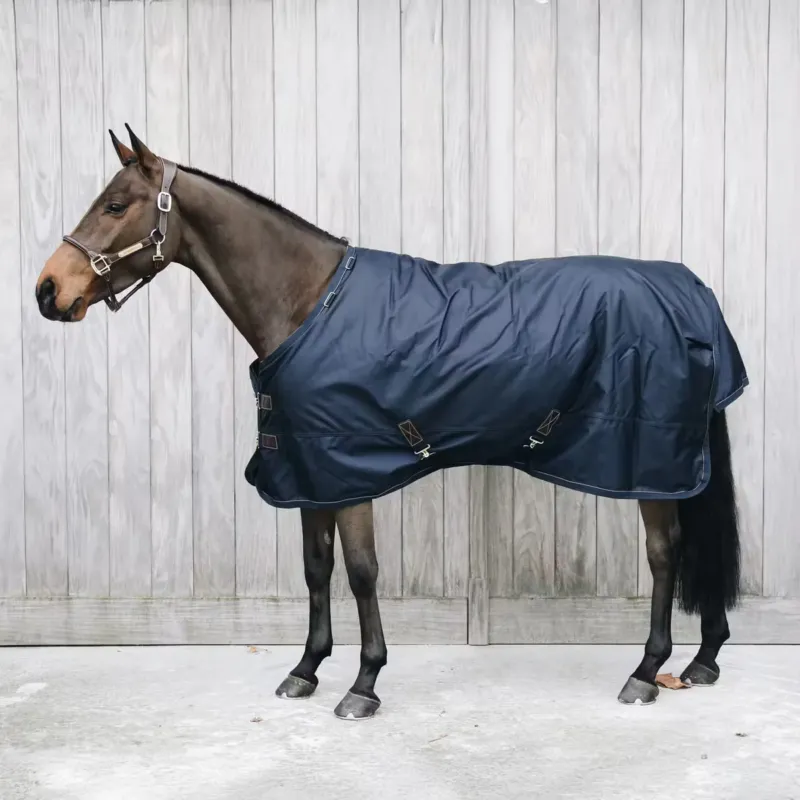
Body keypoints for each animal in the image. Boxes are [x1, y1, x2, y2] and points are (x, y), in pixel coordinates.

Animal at [35, 126, 746, 720]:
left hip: (651, 465)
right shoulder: (309, 471)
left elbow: (360, 572)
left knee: (664, 555)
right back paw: (702, 659)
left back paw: (647, 672)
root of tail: (694, 293)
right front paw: (305, 669)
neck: (309, 302)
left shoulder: (350, 472)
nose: (47, 290)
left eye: (116, 206)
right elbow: (316, 569)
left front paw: (363, 684)